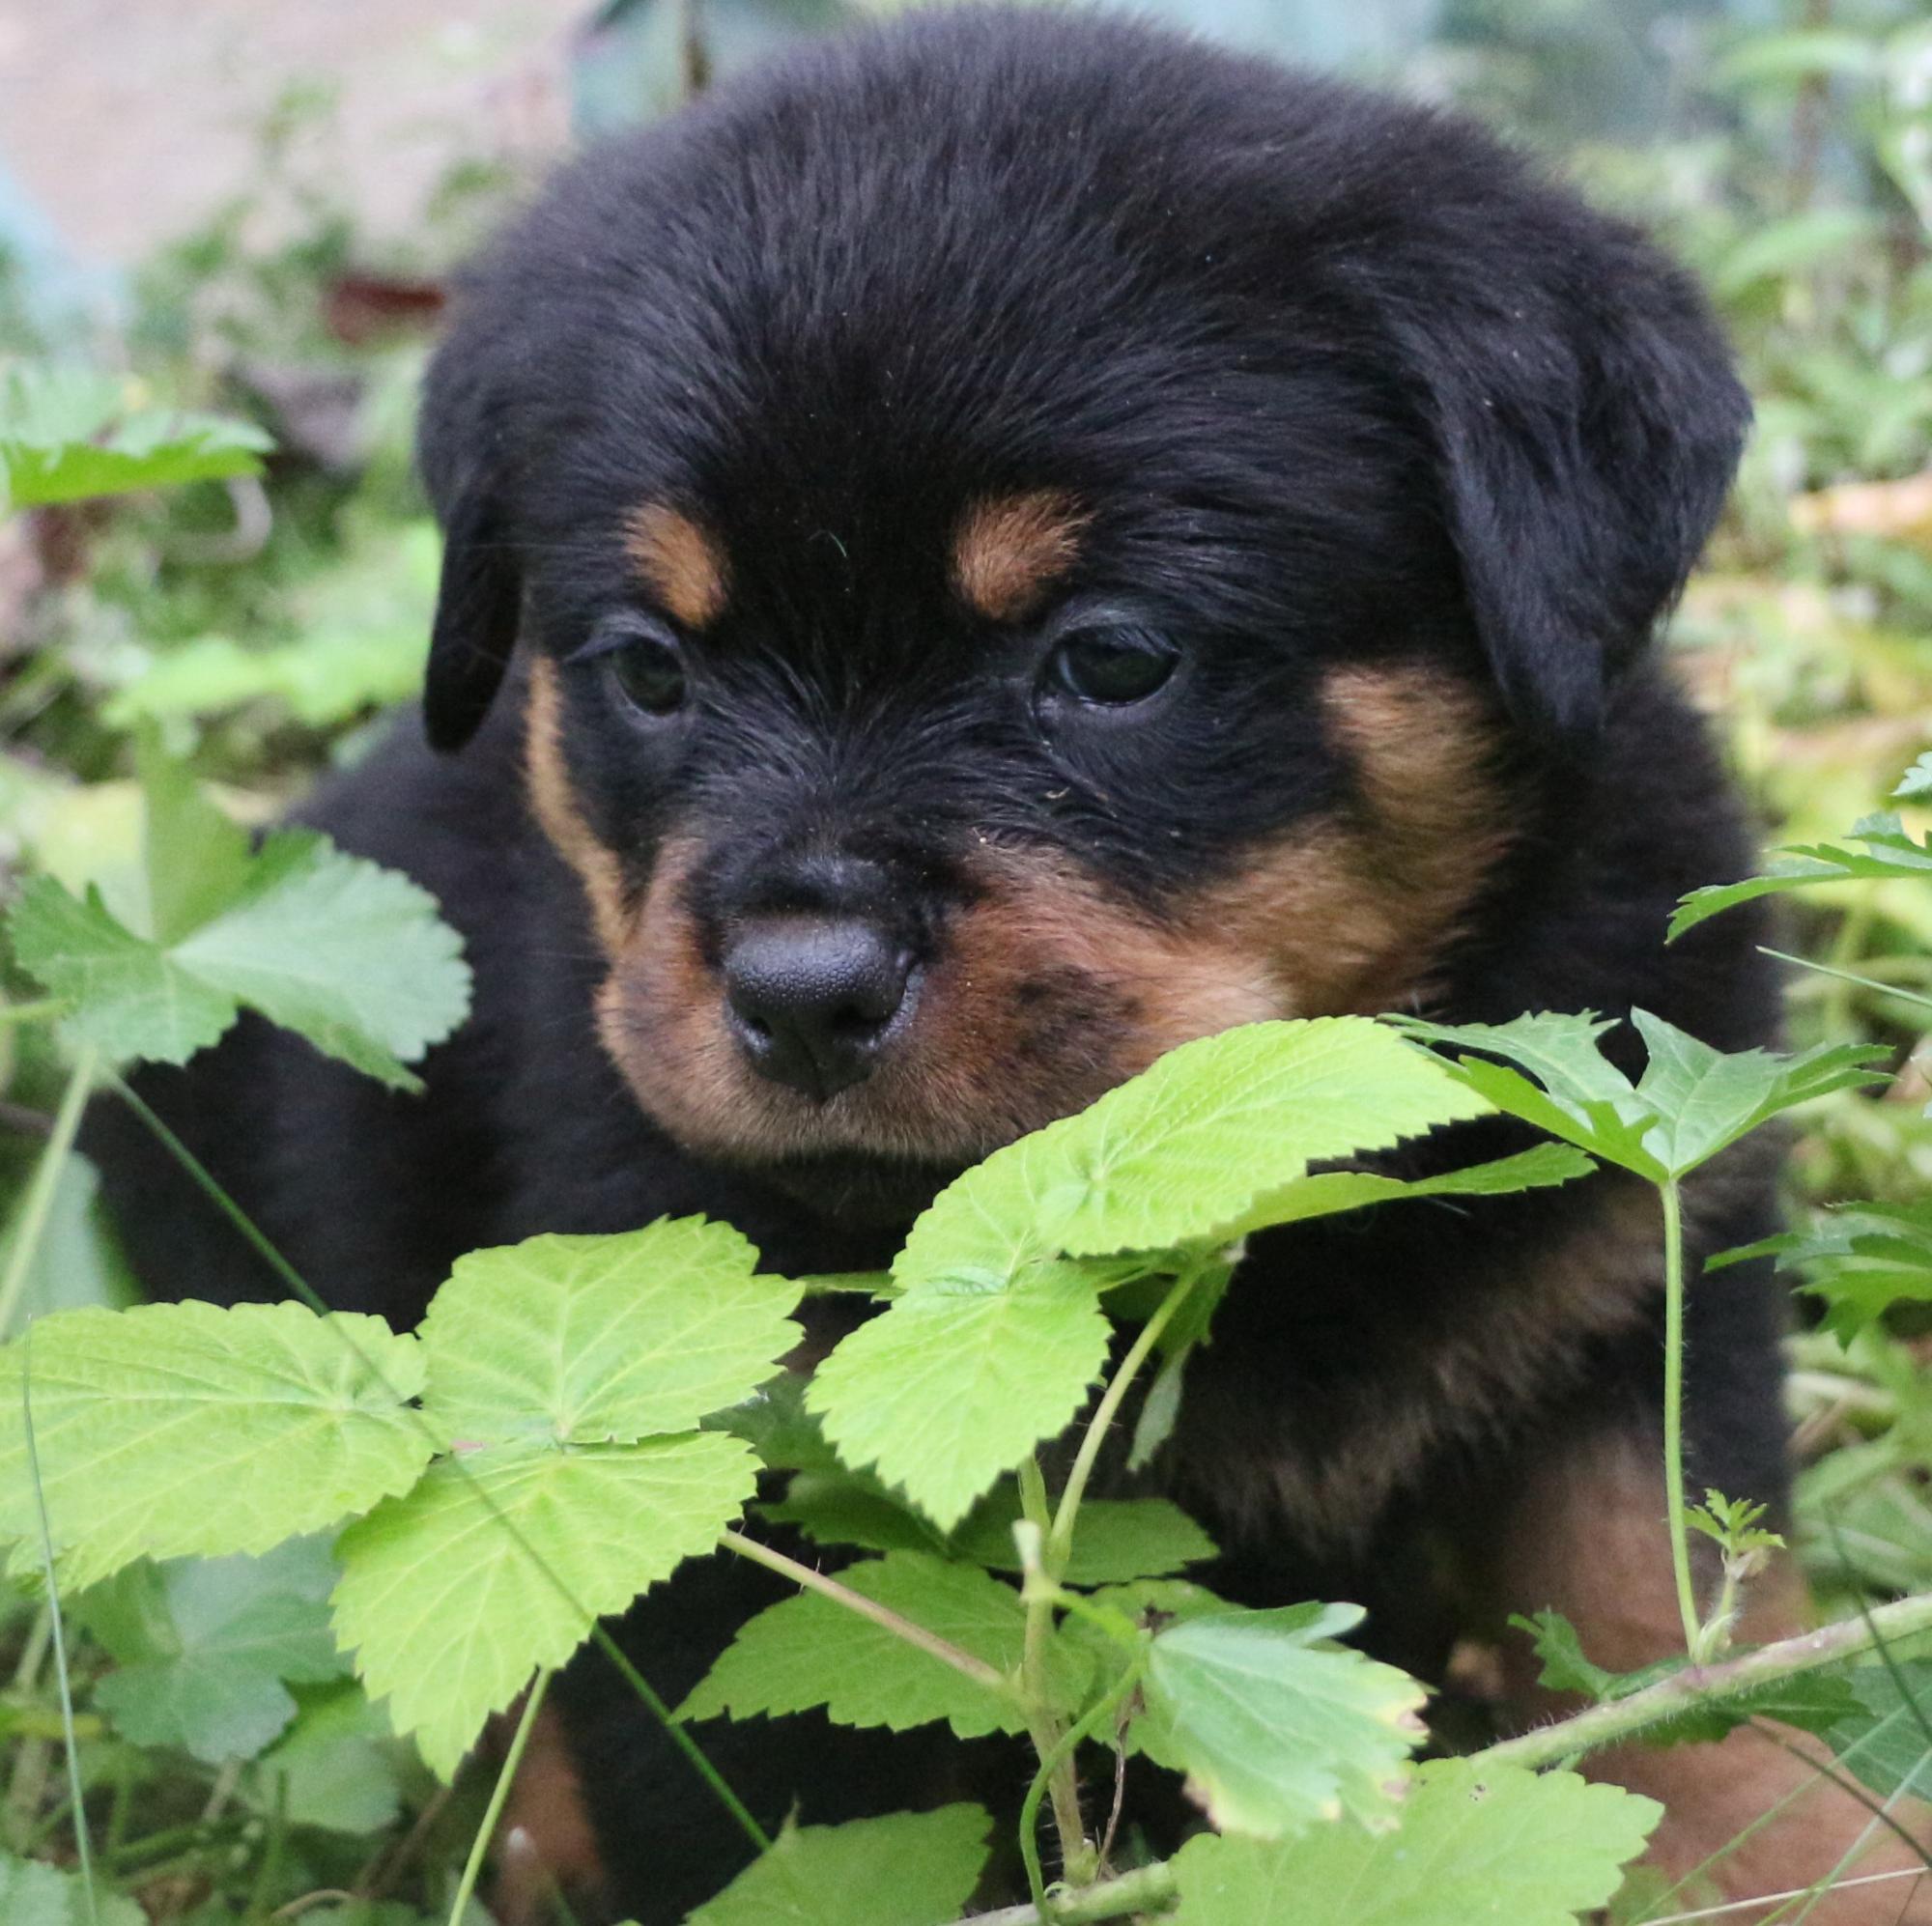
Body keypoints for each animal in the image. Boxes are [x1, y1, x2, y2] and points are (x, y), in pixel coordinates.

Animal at [87, 7, 1917, 1916]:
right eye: (652, 669)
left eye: (1111, 658)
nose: (801, 986)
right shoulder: (732, 1492)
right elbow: (786, 1830)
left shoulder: (1628, 1287)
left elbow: (1680, 1648)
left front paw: (1825, 1857)